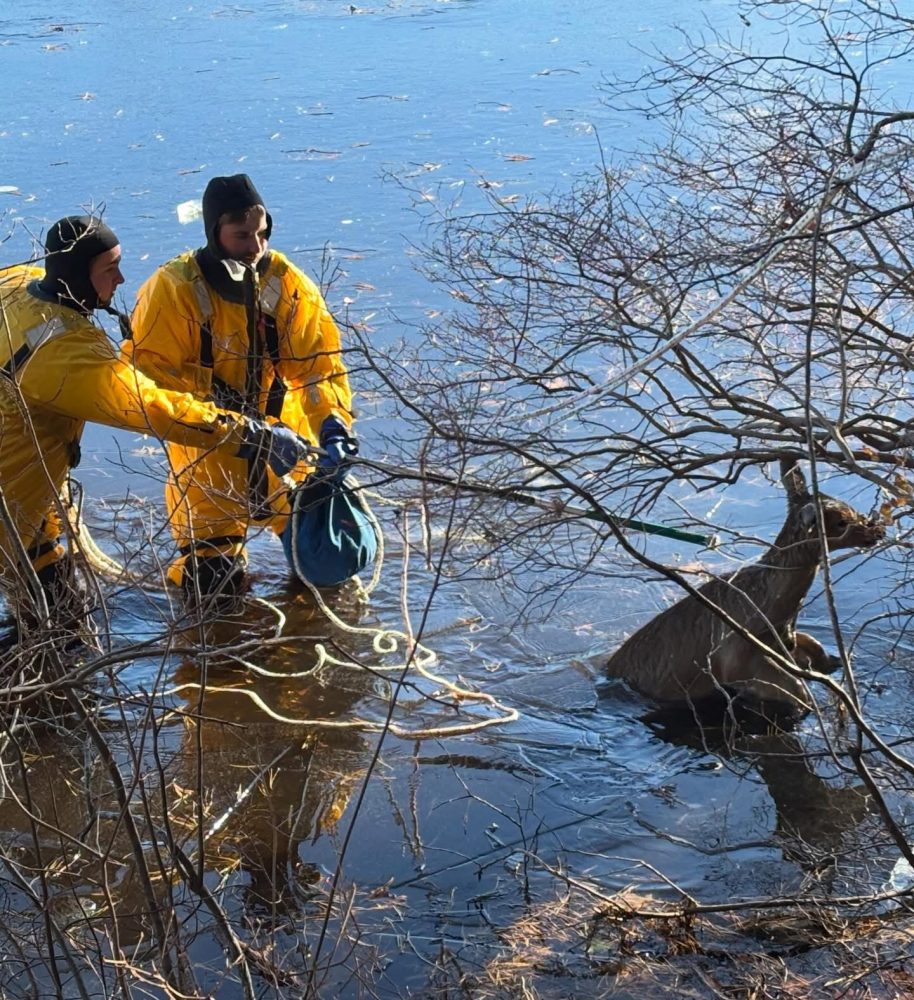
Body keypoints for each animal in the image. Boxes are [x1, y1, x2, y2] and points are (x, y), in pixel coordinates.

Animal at [603, 459, 885, 717]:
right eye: (841, 522)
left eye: (851, 509)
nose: (877, 530)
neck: (770, 617)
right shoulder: (739, 664)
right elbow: (800, 695)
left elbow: (819, 651)